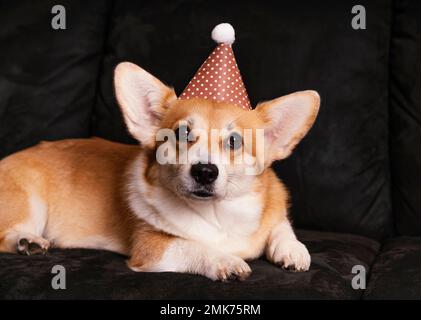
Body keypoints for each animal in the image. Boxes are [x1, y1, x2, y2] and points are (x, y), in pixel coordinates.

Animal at [0, 63, 318, 282]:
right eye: (181, 133)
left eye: (234, 141)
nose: (205, 171)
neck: (219, 213)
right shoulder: (152, 247)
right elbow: (193, 247)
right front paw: (224, 261)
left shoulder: (274, 214)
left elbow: (281, 227)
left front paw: (292, 250)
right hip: (31, 202)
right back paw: (26, 241)